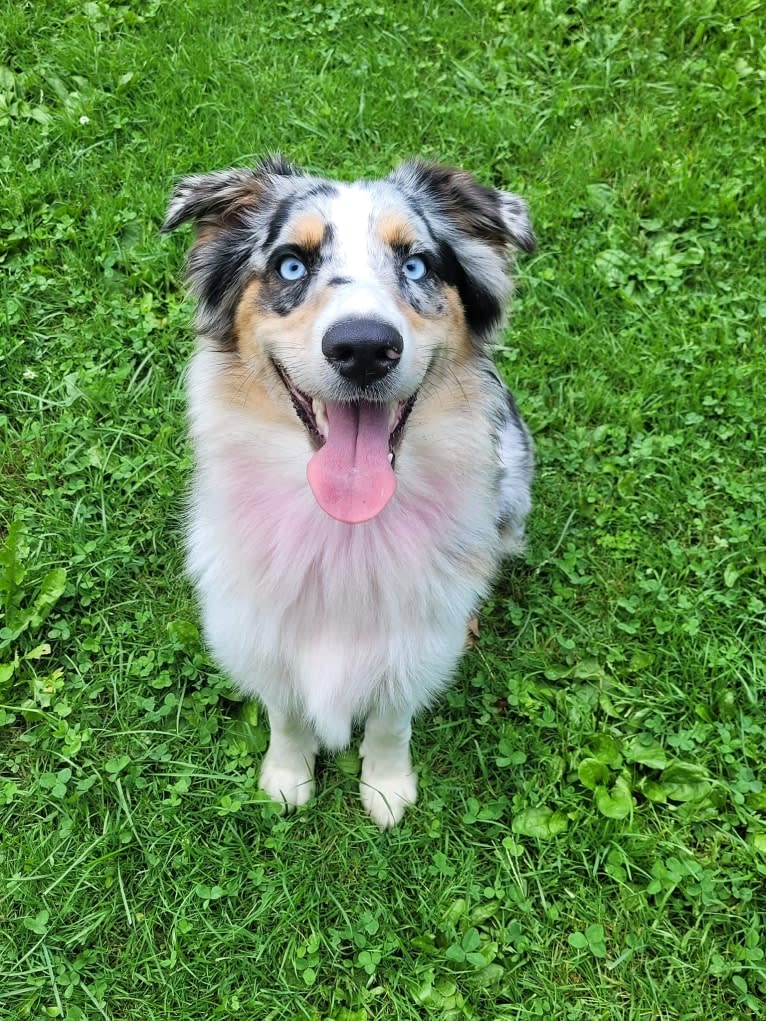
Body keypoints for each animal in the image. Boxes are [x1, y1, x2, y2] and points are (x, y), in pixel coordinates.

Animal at [163, 157, 535, 829]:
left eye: (416, 265)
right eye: (291, 264)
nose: (363, 347)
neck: (343, 532)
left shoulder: (414, 644)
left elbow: (391, 719)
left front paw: (386, 788)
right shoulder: (260, 632)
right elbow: (286, 714)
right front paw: (288, 777)